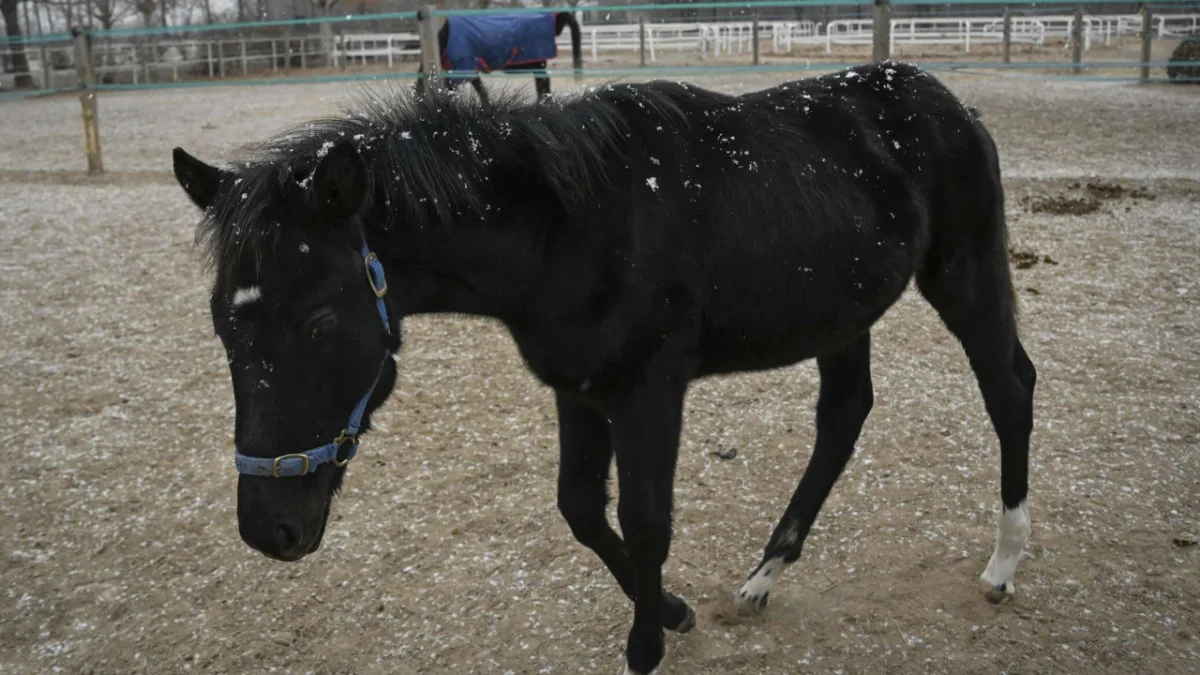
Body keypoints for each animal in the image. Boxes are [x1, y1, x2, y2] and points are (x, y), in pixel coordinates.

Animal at [174, 63, 1036, 672]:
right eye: (221, 323)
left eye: (319, 321)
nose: (270, 530)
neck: (570, 228)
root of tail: (950, 102)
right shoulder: (580, 389)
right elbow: (582, 509)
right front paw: (676, 612)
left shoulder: (649, 389)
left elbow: (647, 520)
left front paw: (647, 644)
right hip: (842, 311)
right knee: (843, 418)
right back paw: (764, 575)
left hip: (964, 273)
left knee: (1009, 387)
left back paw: (1002, 564)